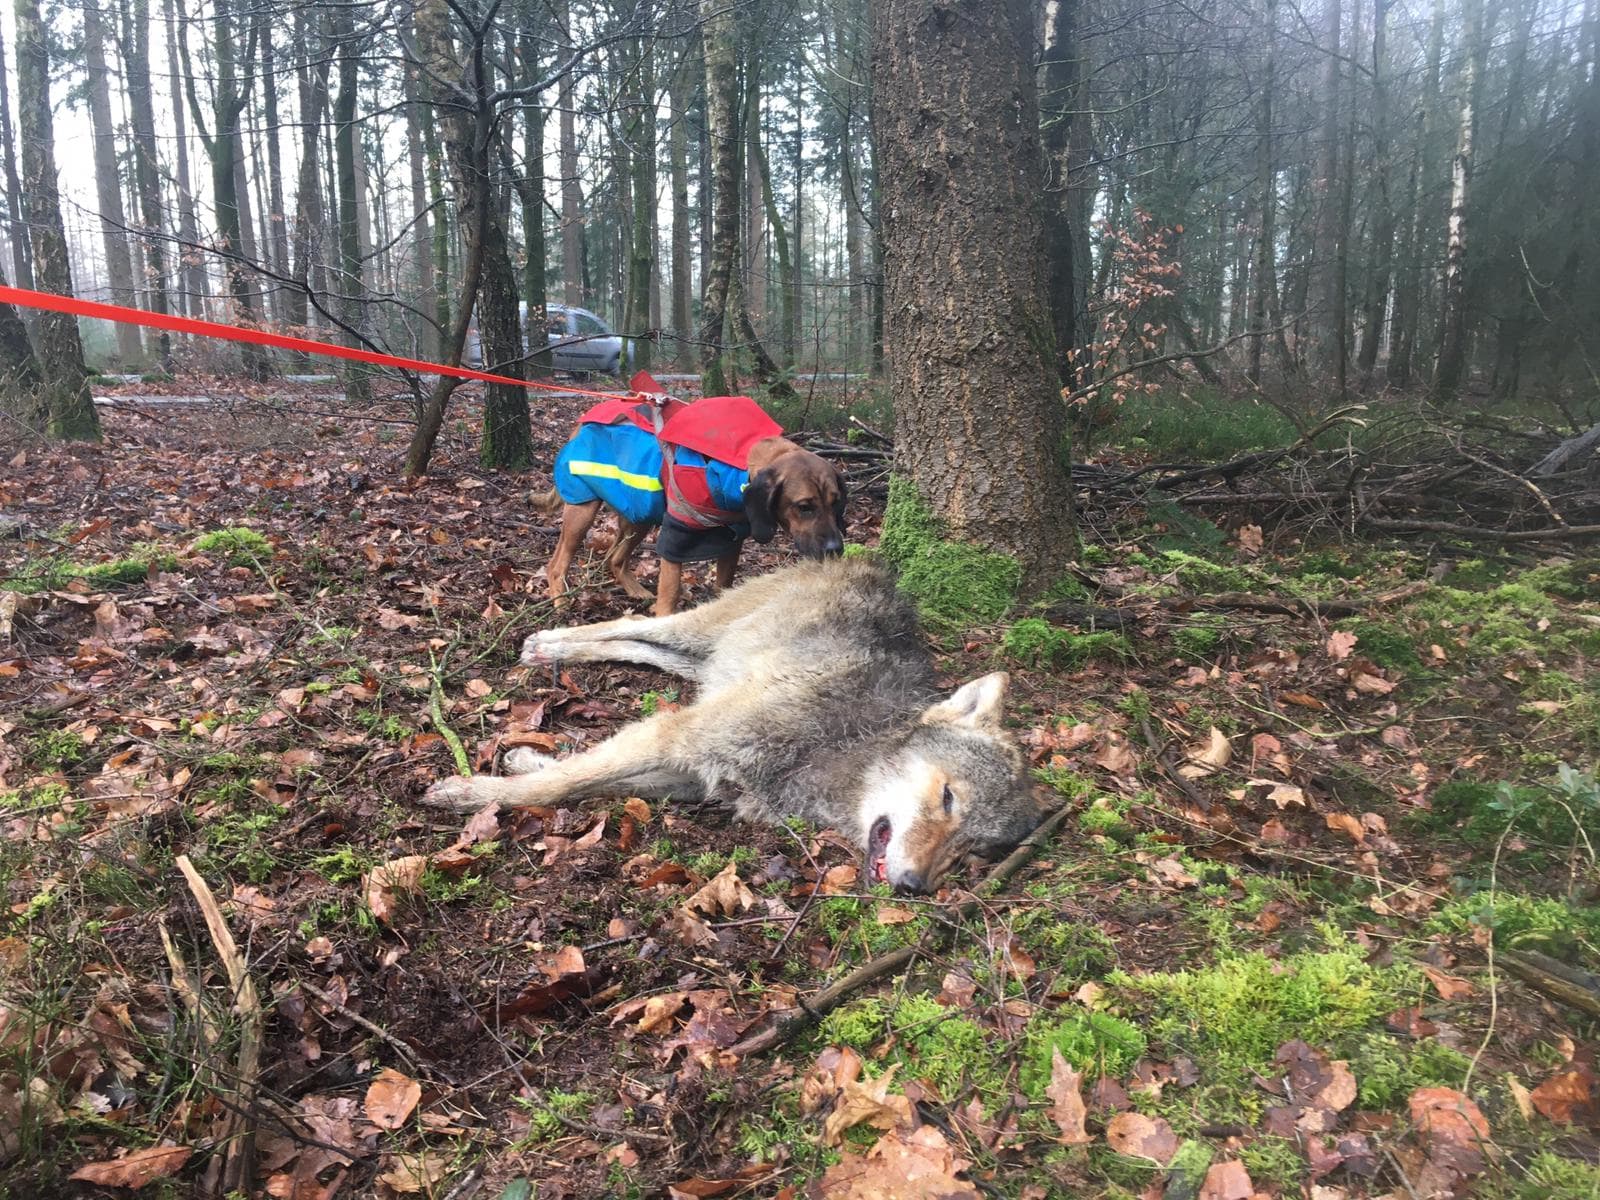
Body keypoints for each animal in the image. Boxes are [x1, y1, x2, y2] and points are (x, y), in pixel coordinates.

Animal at [422, 557, 1043, 892]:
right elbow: (561, 784)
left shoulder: (696, 776)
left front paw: (523, 758)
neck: (846, 741)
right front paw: (470, 793)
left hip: (707, 661)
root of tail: (863, 559)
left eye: (971, 850)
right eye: (947, 798)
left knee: (643, 646)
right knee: (635, 620)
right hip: (700, 632)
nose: (915, 889)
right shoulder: (677, 734)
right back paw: (549, 644)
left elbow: (584, 780)